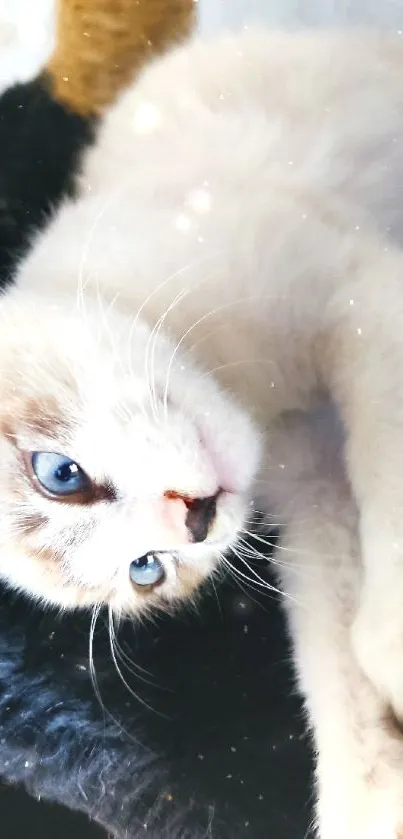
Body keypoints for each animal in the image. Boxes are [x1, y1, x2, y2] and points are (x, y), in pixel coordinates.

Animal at [5, 26, 403, 832]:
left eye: (58, 474)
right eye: (147, 570)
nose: (195, 519)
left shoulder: (362, 292)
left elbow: (391, 466)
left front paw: (397, 646)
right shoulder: (309, 486)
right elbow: (330, 645)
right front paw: (371, 800)